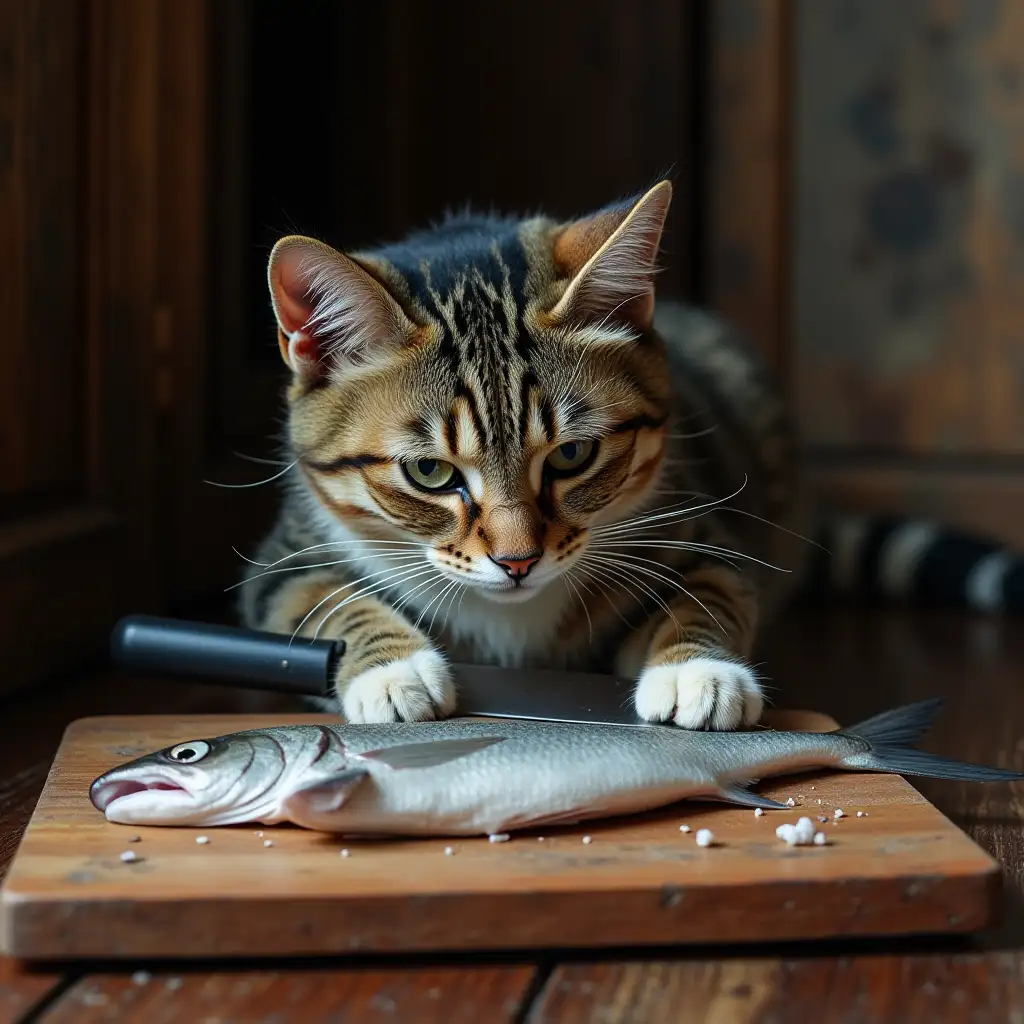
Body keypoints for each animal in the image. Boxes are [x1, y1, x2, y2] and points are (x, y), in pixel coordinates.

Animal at [237, 182, 1024, 729]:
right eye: (429, 472)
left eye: (573, 455)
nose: (518, 562)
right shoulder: (283, 560)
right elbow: (323, 604)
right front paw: (392, 670)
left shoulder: (697, 532)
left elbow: (709, 593)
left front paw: (697, 669)